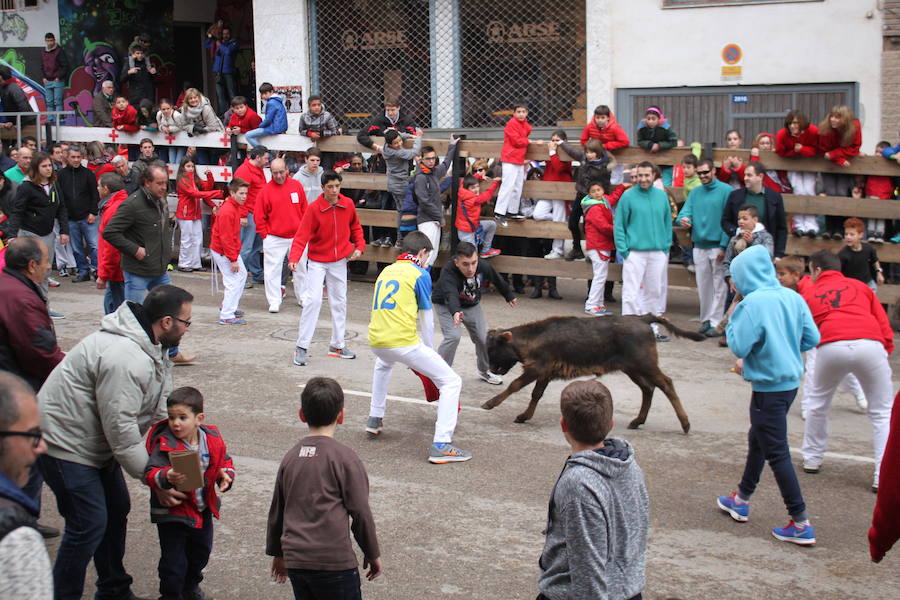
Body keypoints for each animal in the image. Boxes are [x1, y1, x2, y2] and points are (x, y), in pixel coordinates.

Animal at [482, 314, 708, 432]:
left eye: (494, 349)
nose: (491, 369)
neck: (533, 338)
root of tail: (643, 318)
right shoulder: (545, 373)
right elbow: (536, 394)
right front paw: (524, 416)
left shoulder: (536, 369)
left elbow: (515, 385)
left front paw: (490, 403)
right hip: (632, 368)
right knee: (648, 388)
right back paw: (638, 421)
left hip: (646, 364)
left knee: (665, 383)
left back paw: (685, 423)